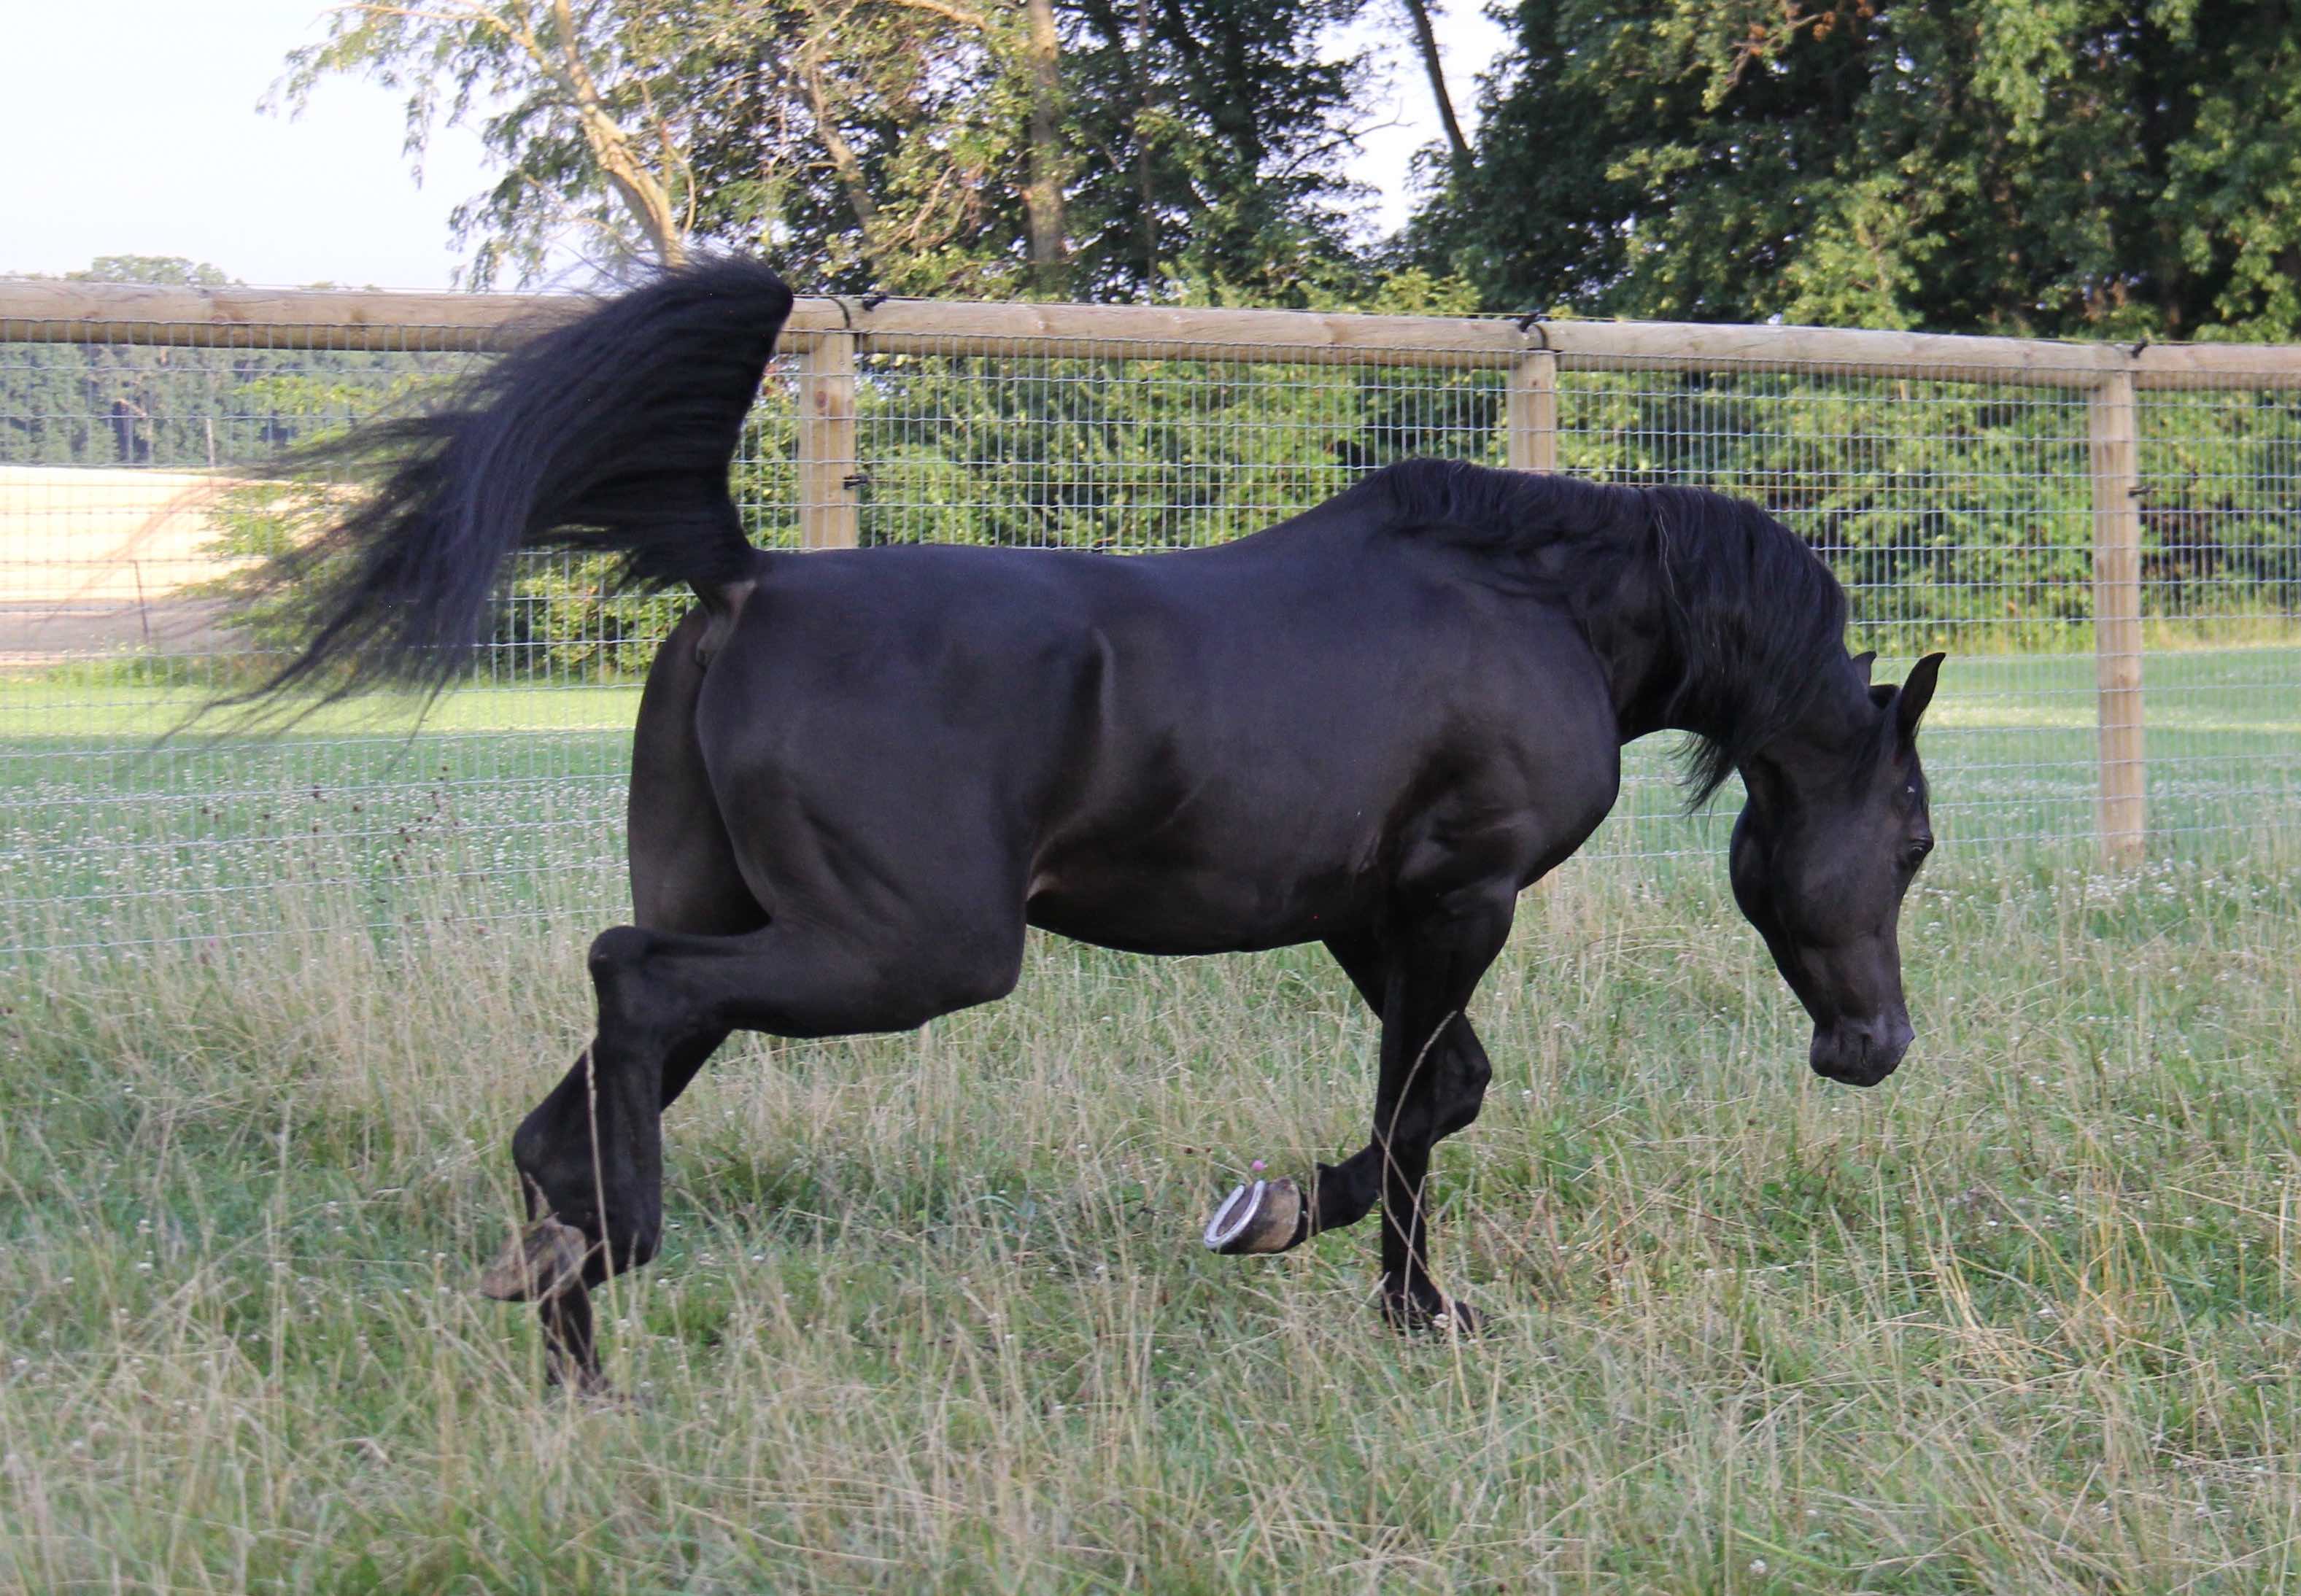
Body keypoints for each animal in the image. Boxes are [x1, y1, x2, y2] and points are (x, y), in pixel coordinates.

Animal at [247, 260, 1941, 1389]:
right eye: (1914, 840)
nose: (1874, 1048)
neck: (1541, 607)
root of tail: (744, 580)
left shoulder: (1369, 911)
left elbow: (1440, 1089)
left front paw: (1371, 1273)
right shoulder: (1461, 896)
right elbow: (1411, 1110)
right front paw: (1325, 1251)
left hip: (752, 914)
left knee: (573, 1100)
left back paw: (578, 1350)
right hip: (906, 948)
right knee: (626, 976)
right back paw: (621, 1253)